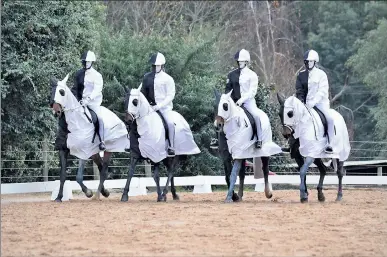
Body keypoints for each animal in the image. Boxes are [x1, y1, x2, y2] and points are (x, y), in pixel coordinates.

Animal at [49, 73, 129, 201]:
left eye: (62, 92)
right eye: (51, 92)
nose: (56, 111)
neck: (72, 126)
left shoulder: (83, 151)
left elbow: (78, 177)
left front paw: (88, 192)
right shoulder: (63, 150)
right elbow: (62, 176)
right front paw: (59, 197)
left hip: (108, 150)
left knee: (104, 171)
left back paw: (97, 195)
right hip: (94, 153)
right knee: (101, 167)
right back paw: (104, 192)